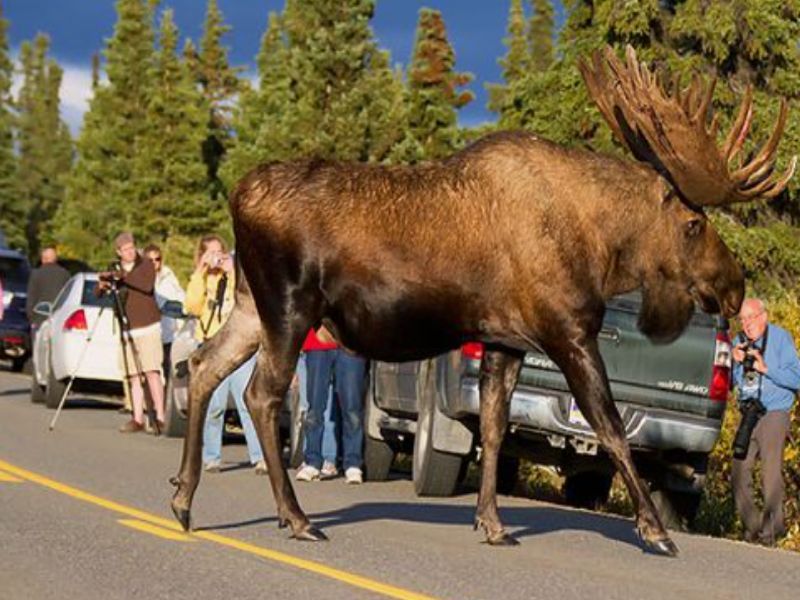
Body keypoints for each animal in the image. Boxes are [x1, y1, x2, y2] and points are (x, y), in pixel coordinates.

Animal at [167, 44, 792, 556]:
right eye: (693, 224)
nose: (733, 287)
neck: (601, 247)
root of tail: (238, 196)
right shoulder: (568, 330)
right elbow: (610, 426)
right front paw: (655, 529)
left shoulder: (504, 340)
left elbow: (494, 430)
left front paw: (491, 522)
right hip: (290, 306)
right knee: (260, 394)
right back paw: (293, 518)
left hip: (252, 306)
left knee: (201, 365)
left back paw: (183, 499)